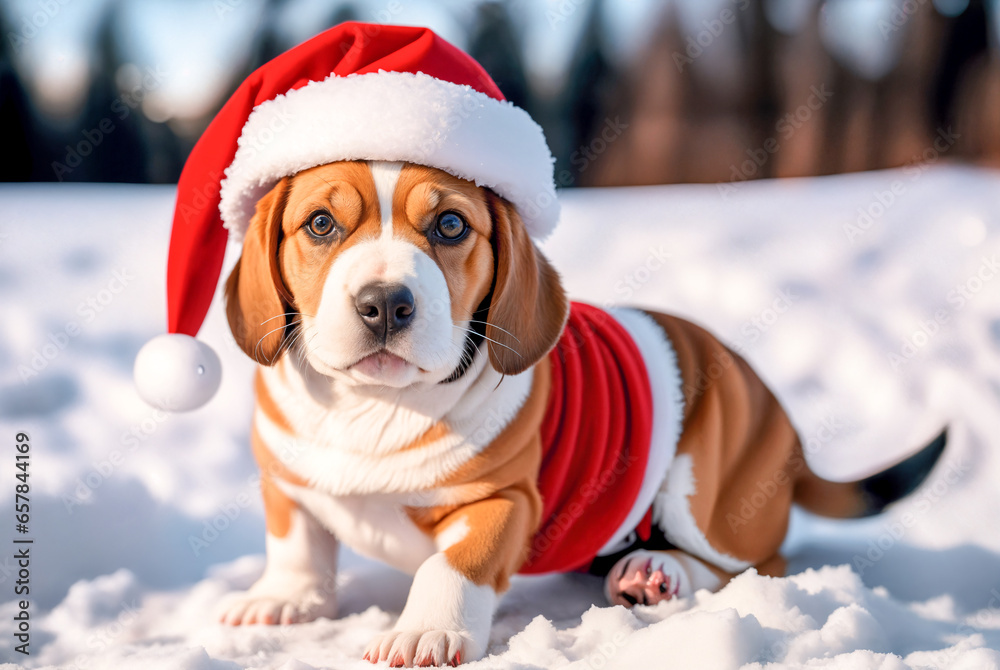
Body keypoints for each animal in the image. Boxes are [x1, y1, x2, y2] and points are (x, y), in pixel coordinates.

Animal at [217, 160, 944, 668]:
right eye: (320, 224)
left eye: (450, 226)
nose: (386, 304)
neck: (375, 409)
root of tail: (780, 418)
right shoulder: (286, 481)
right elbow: (297, 545)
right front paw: (285, 598)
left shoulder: (502, 501)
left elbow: (450, 567)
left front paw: (426, 632)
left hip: (708, 493)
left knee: (754, 565)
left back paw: (658, 572)